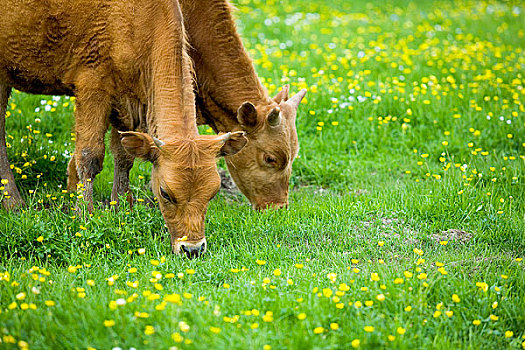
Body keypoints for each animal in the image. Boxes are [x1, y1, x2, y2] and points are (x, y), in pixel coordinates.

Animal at [0, 0, 247, 258]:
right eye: (165, 193)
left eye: (213, 192)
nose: (192, 249)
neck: (140, 17)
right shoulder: (92, 85)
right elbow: (89, 156)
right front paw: (84, 216)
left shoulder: (127, 99)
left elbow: (123, 158)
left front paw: (119, 210)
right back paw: (14, 204)